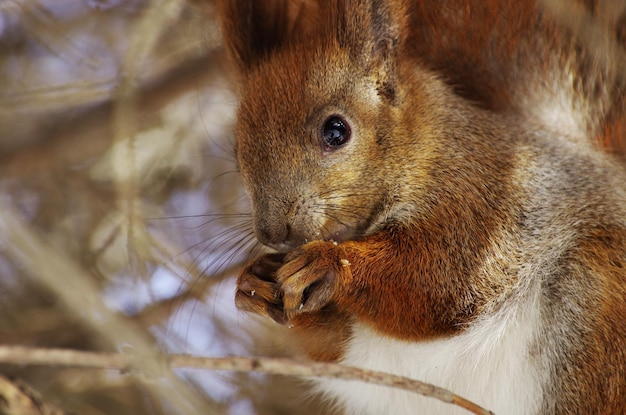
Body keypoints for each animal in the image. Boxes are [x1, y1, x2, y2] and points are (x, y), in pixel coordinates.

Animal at [214, 0, 624, 414]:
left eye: (336, 131)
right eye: (237, 149)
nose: (272, 232)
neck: (422, 144)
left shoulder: (481, 199)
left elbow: (440, 280)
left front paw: (329, 264)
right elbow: (331, 346)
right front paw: (252, 284)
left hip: (596, 314)